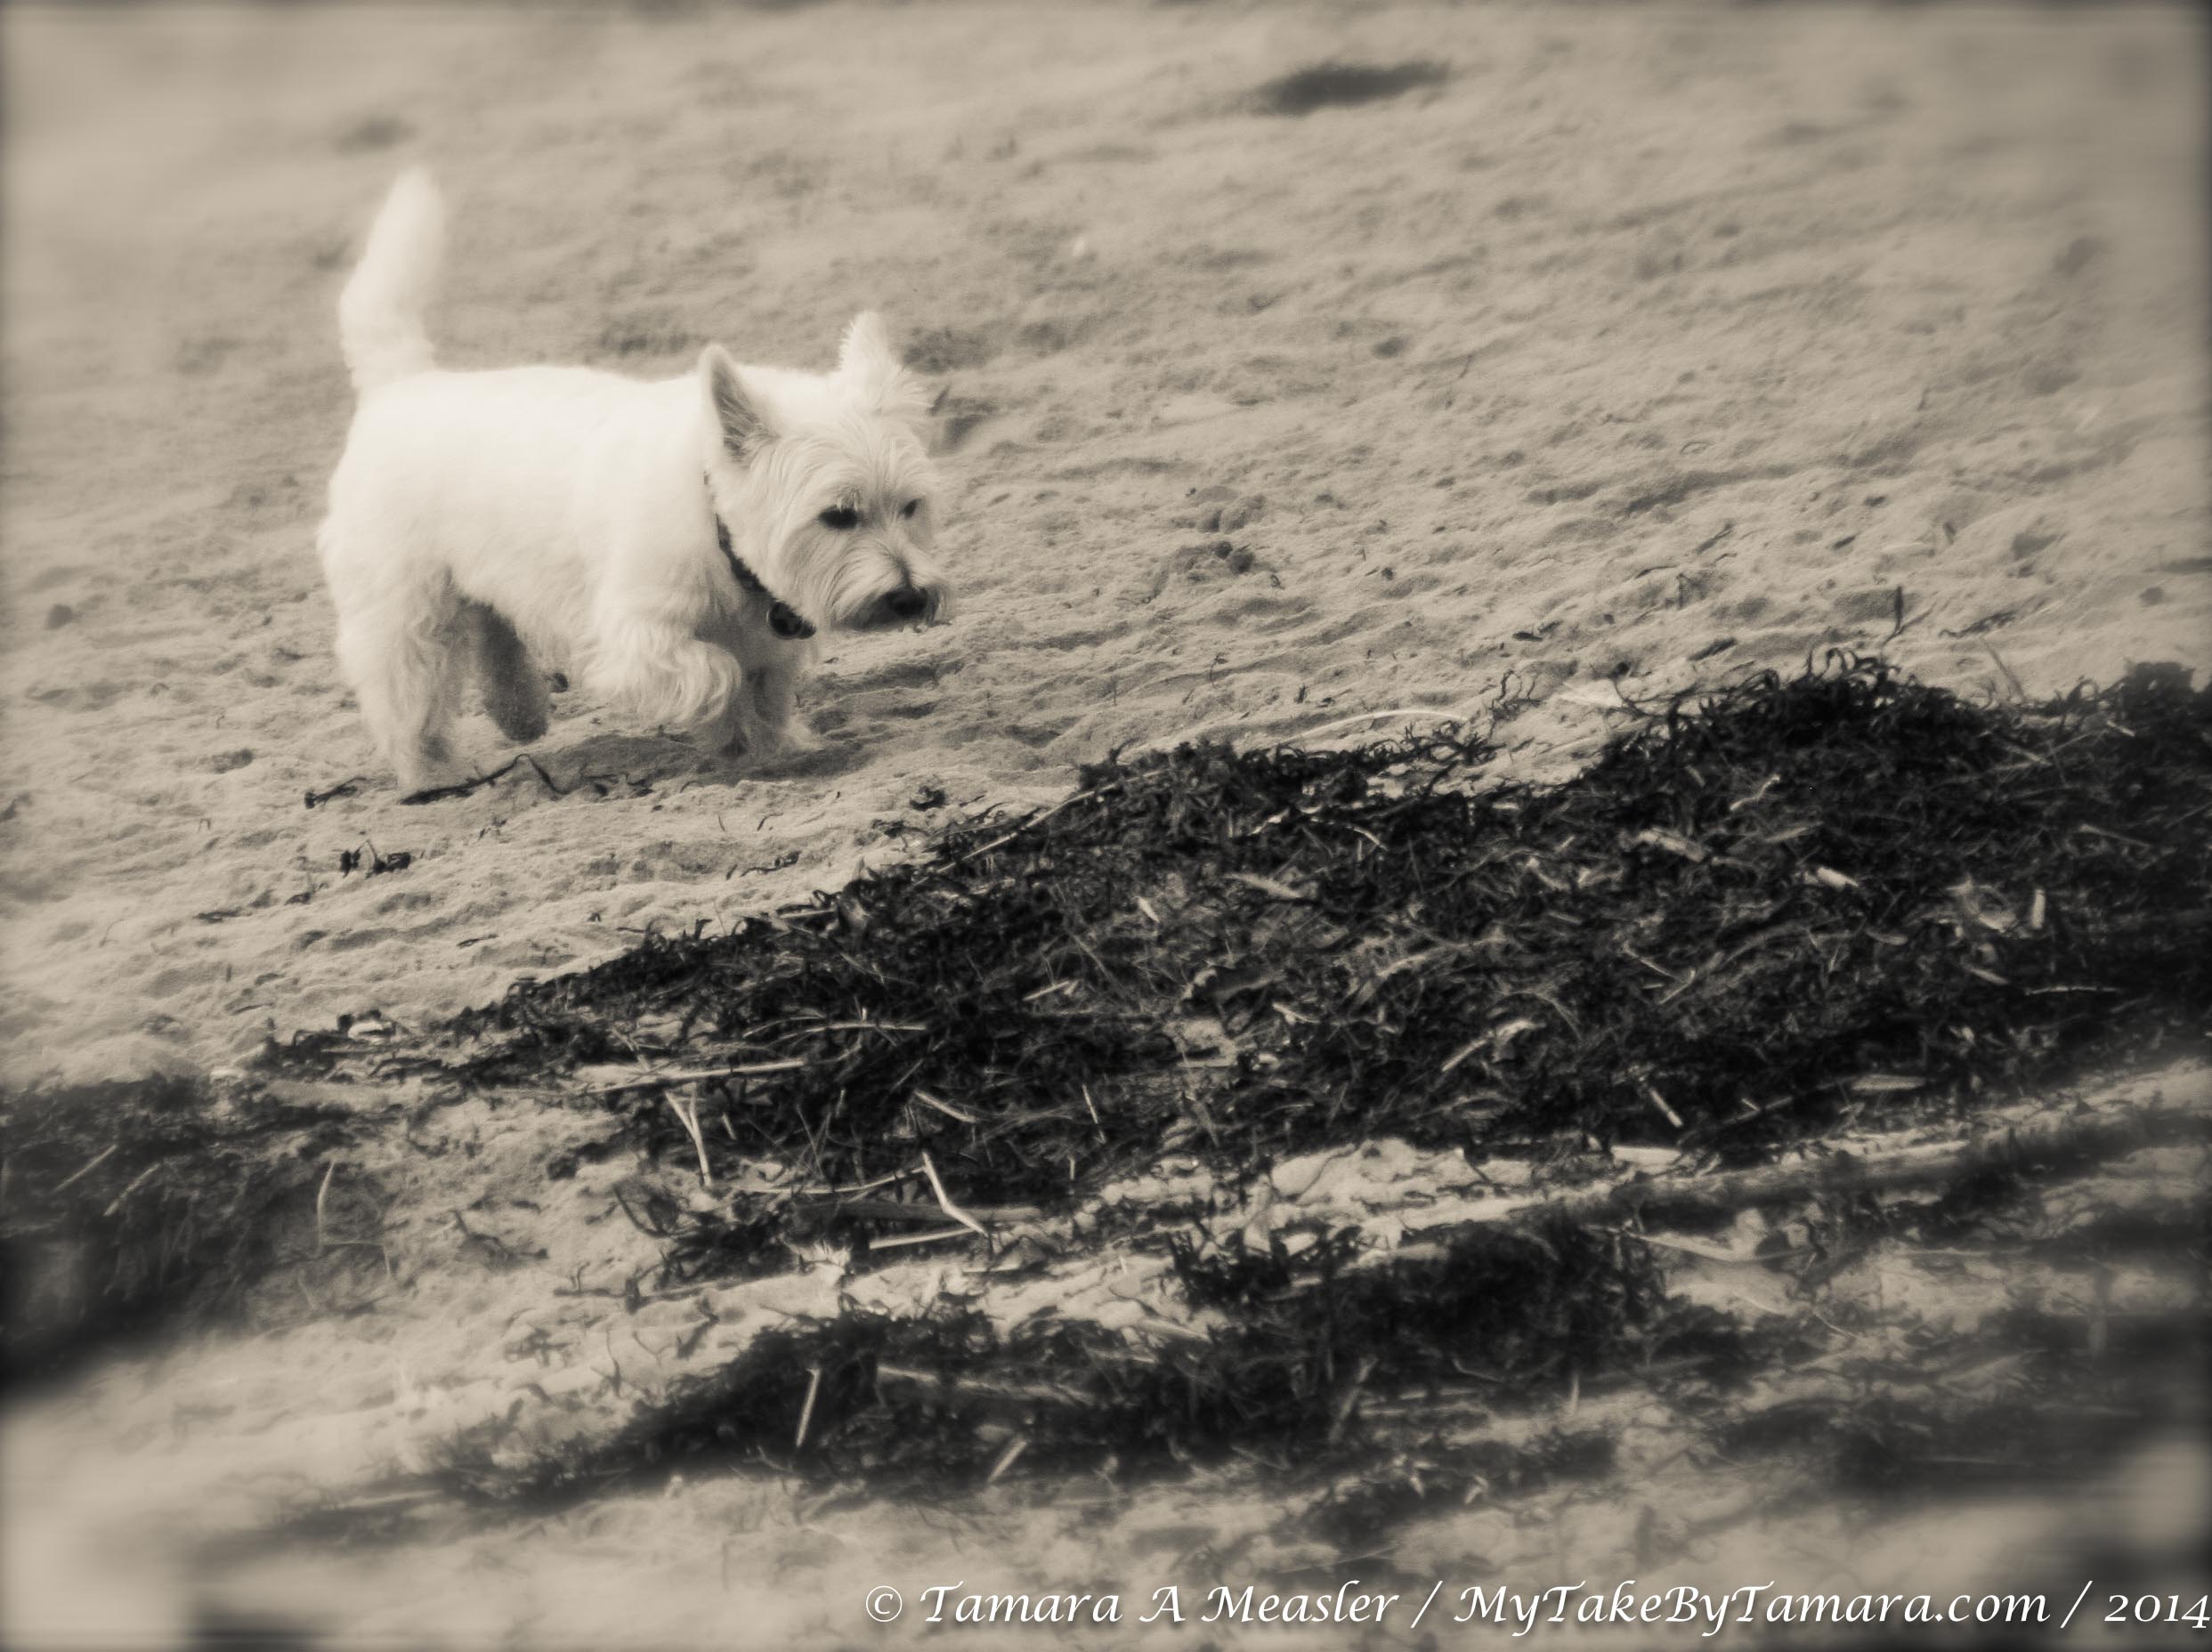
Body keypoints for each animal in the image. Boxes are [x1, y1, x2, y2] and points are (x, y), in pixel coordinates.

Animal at [317, 168, 951, 793]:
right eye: (838, 515)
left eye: (911, 507)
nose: (909, 597)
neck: (714, 522)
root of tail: (401, 385)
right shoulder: (635, 635)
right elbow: (717, 675)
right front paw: (730, 735)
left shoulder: (770, 641)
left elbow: (768, 692)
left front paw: (775, 747)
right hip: (404, 604)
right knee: (406, 688)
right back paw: (433, 773)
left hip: (480, 575)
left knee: (496, 637)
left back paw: (521, 715)